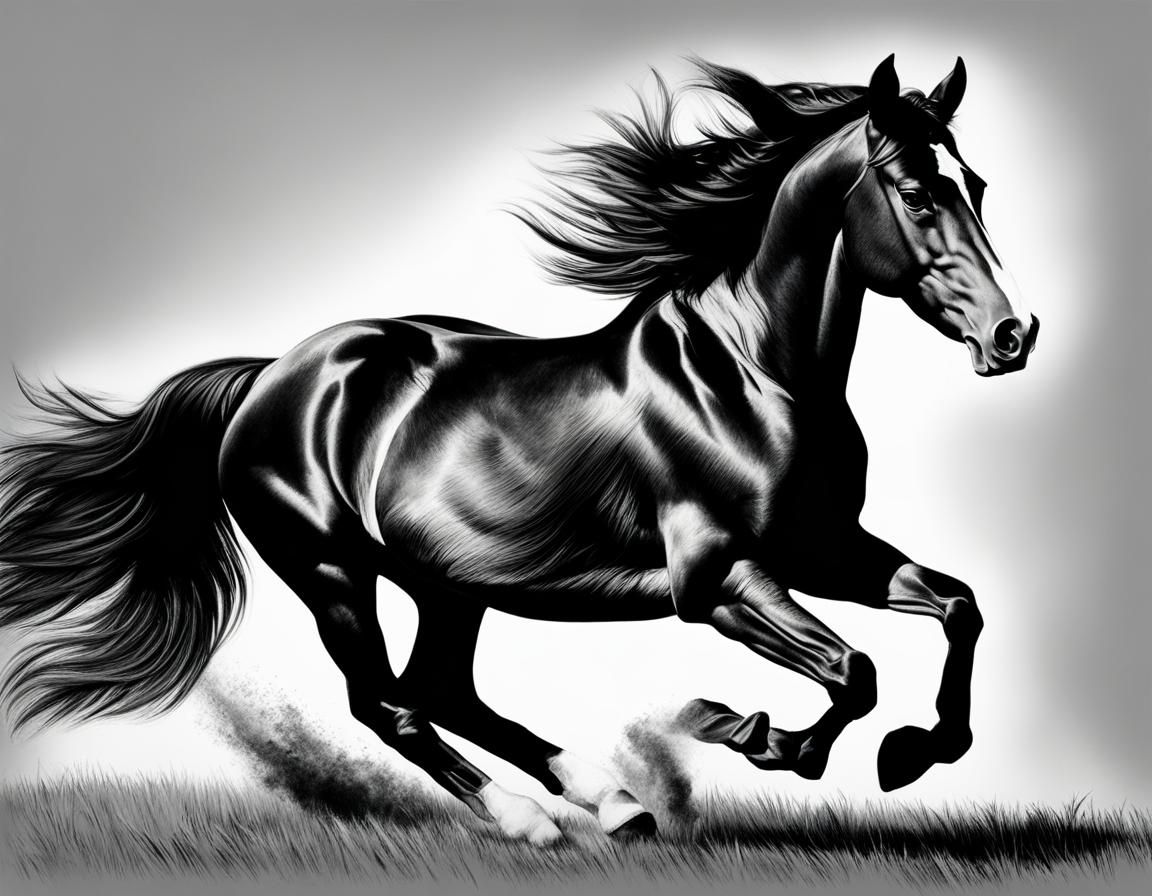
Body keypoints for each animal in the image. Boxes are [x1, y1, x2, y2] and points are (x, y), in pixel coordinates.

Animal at [0, 55, 1037, 845]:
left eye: (980, 186)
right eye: (917, 192)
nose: (1012, 336)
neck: (752, 374)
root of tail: (269, 378)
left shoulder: (823, 549)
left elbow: (958, 608)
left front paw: (912, 753)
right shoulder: (719, 581)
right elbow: (853, 672)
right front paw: (751, 734)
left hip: (446, 584)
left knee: (444, 691)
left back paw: (614, 807)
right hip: (332, 570)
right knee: (388, 704)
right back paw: (532, 821)